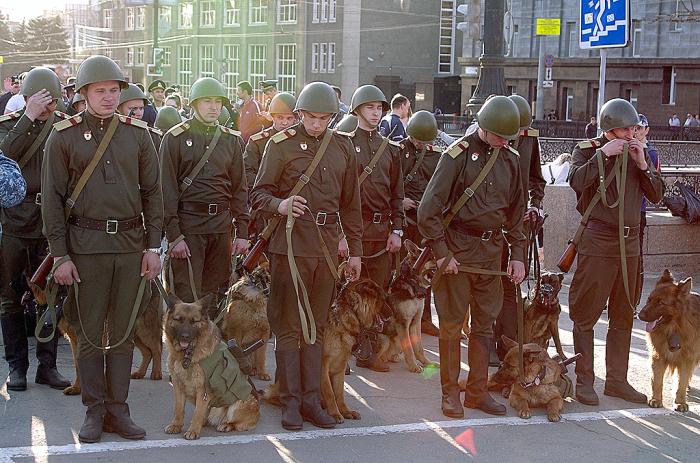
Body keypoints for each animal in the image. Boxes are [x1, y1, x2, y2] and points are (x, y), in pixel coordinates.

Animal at [164, 296, 260, 440]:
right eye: (179, 320)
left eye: (194, 321)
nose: (185, 336)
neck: (187, 355)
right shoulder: (178, 386)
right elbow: (179, 409)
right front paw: (176, 425)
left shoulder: (203, 390)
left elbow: (197, 412)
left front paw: (193, 431)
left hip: (240, 403)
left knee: (236, 423)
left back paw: (225, 425)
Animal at [636, 268, 696, 414]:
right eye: (649, 299)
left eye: (661, 303)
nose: (639, 315)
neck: (673, 328)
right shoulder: (658, 356)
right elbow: (657, 381)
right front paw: (656, 400)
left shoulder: (687, 359)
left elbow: (681, 381)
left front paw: (680, 402)